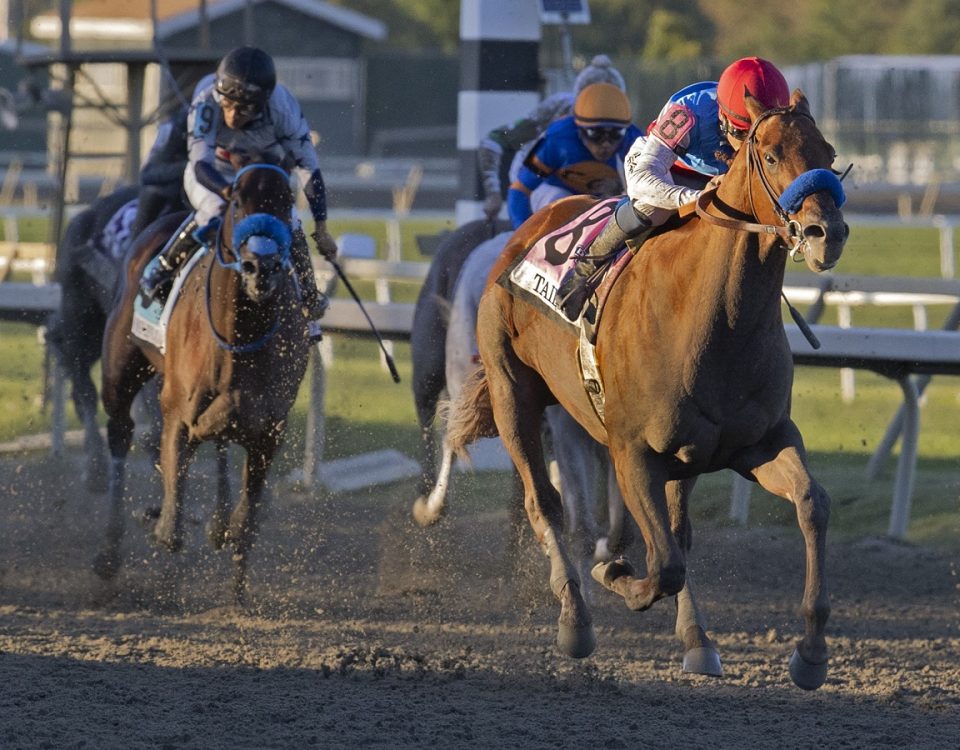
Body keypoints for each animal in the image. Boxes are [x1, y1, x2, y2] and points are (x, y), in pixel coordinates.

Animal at [95, 159, 310, 604]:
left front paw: (237, 595)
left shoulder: (269, 430)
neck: (240, 337)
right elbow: (172, 528)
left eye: (285, 203)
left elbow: (246, 525)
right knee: (121, 434)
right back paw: (110, 551)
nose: (260, 268)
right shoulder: (177, 409)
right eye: (238, 202)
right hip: (119, 369)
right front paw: (162, 523)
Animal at [448, 91, 848, 692]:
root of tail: (526, 229)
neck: (719, 319)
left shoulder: (761, 441)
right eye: (772, 155)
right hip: (510, 391)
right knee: (545, 503)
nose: (829, 233)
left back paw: (697, 641)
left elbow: (812, 504)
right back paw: (575, 619)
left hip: (686, 458)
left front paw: (811, 652)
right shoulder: (631, 452)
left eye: (828, 152)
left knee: (678, 530)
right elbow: (661, 564)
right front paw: (611, 571)